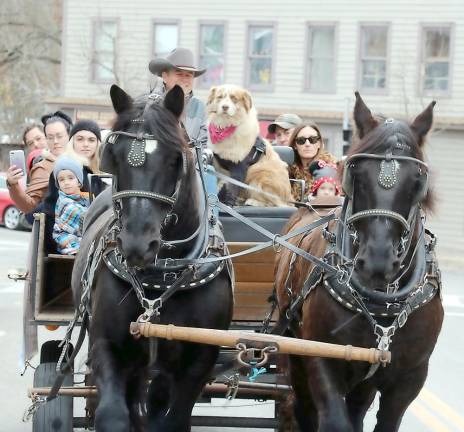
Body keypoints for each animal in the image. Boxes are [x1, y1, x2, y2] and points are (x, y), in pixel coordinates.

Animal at [71, 82, 234, 430]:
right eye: (115, 157)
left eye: (175, 158)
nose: (136, 243)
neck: (161, 277)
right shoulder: (109, 346)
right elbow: (114, 415)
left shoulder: (198, 361)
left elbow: (171, 420)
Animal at [274, 92, 444, 432]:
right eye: (356, 172)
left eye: (417, 181)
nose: (377, 262)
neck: (381, 304)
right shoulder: (321, 358)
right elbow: (334, 422)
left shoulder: (410, 377)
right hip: (294, 351)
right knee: (302, 409)